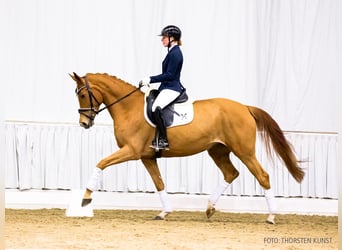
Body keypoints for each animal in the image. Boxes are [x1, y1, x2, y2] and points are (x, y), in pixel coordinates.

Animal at [70, 72, 304, 223]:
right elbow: (159, 183)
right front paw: (164, 212)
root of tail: (245, 107)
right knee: (231, 173)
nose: (84, 123)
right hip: (217, 150)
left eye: (81, 94)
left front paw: (86, 198)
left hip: (244, 151)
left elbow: (100, 163)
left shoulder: (132, 151)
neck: (129, 108)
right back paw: (209, 208)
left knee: (262, 176)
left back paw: (271, 217)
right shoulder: (147, 157)